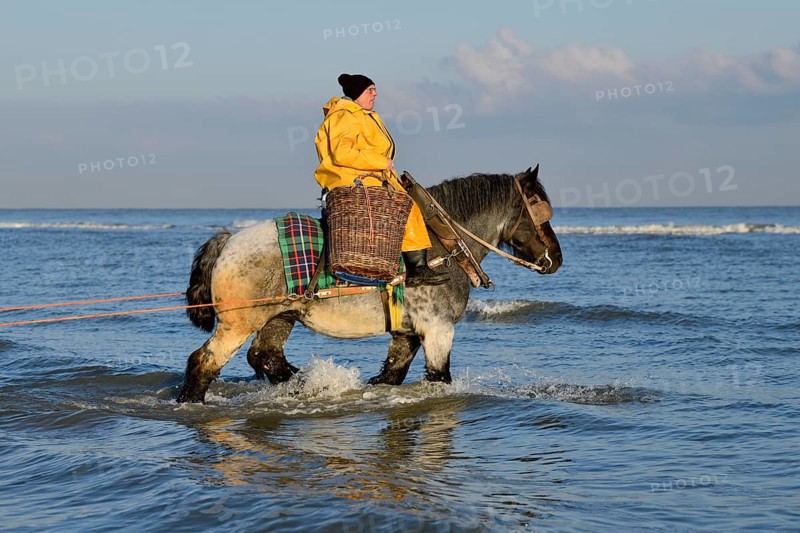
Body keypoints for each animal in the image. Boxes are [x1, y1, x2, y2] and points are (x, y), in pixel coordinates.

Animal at [177, 165, 563, 403]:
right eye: (539, 208)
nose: (556, 259)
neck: (441, 246)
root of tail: (229, 241)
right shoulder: (439, 330)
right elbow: (439, 378)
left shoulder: (408, 333)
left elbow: (391, 376)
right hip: (238, 323)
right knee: (203, 362)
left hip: (279, 317)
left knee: (265, 357)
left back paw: (307, 383)